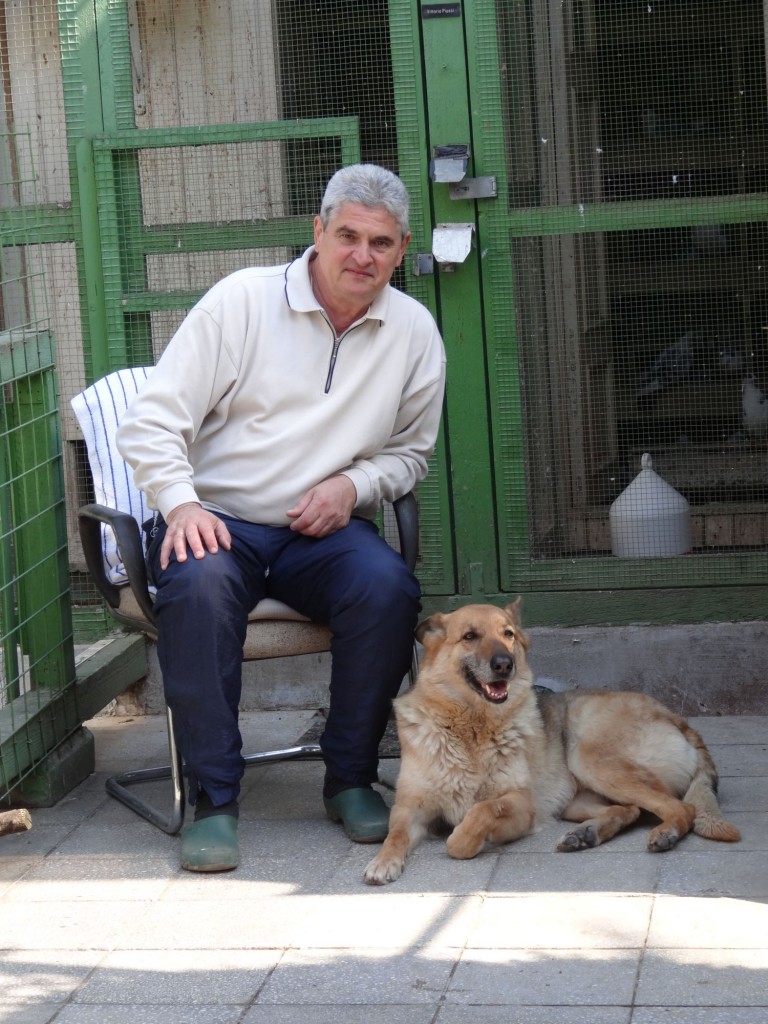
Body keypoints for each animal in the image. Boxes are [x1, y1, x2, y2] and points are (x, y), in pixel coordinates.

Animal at [364, 600, 740, 885]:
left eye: (508, 634)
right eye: (469, 636)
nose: (505, 664)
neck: (471, 727)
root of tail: (681, 722)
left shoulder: (522, 806)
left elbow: (478, 815)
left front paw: (467, 837)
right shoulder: (409, 808)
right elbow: (395, 833)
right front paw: (383, 860)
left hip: (589, 757)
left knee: (681, 808)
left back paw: (665, 833)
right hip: (577, 798)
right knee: (631, 810)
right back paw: (586, 835)